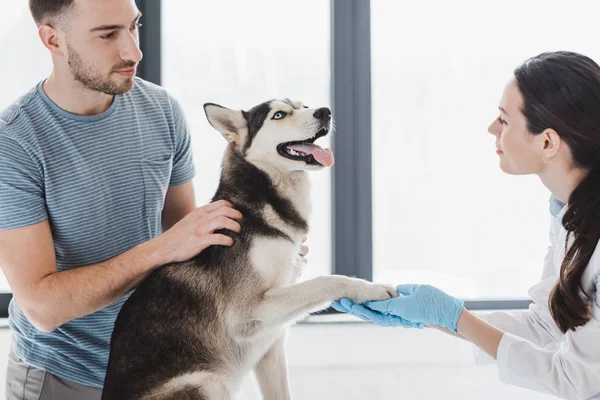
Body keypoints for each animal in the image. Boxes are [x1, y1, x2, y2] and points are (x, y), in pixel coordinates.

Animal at [101, 98, 396, 398]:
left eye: (304, 105)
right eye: (279, 115)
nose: (324, 111)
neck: (263, 204)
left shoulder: (272, 346)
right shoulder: (249, 313)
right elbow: (325, 281)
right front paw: (368, 288)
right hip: (209, 381)